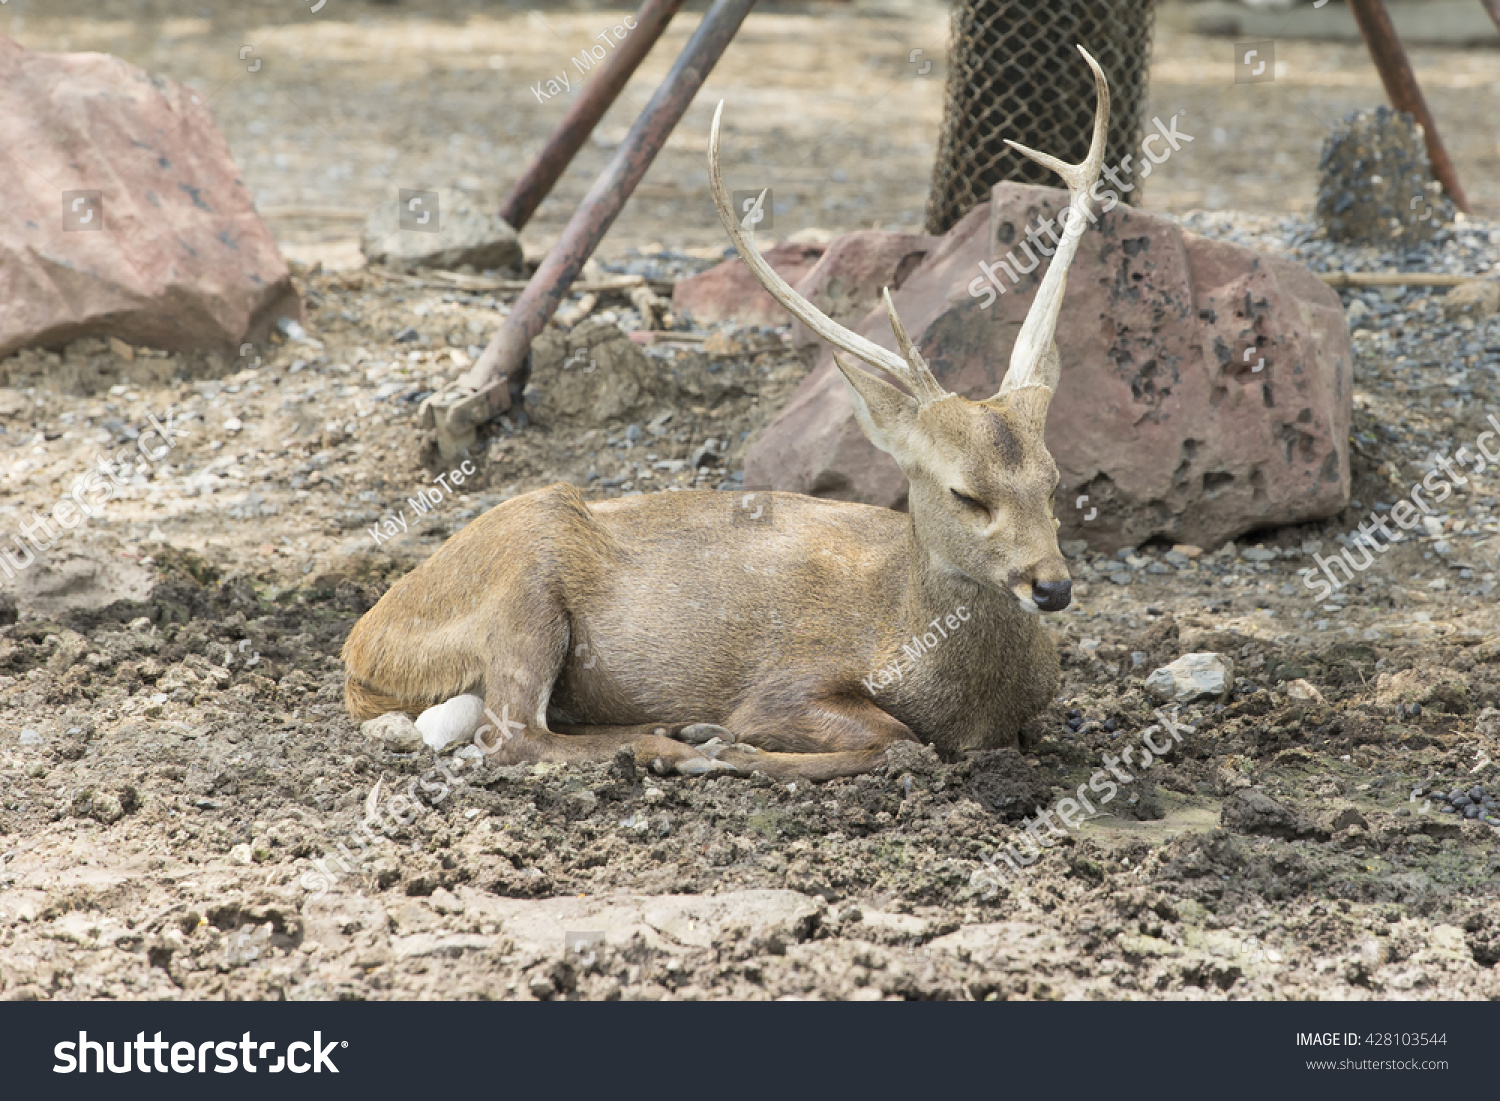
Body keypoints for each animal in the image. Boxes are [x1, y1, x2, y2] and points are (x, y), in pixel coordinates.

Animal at [343, 45, 1116, 786]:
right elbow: (897, 739)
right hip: (522, 581)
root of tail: (361, 645)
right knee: (510, 734)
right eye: (965, 492)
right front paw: (730, 747)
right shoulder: (785, 682)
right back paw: (671, 741)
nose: (1053, 585)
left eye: (1053, 482)